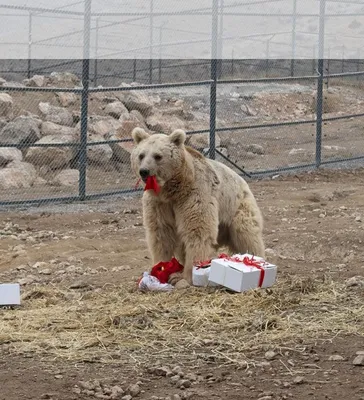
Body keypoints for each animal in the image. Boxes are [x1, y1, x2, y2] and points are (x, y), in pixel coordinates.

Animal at [131, 126, 264, 286]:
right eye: (141, 155)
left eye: (158, 156)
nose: (144, 171)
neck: (172, 190)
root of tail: (243, 181)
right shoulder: (159, 203)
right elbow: (161, 233)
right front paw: (160, 269)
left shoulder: (194, 194)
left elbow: (197, 231)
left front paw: (184, 277)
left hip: (237, 206)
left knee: (246, 234)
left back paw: (254, 258)